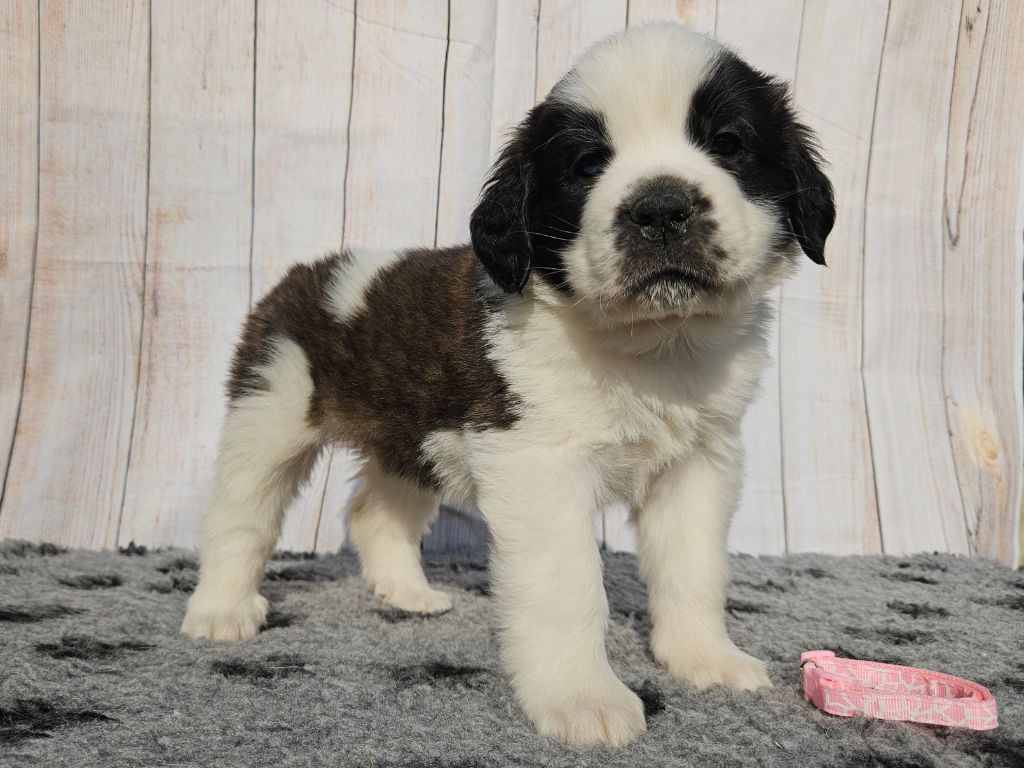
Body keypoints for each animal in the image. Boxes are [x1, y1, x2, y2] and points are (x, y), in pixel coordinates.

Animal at [181, 22, 834, 746]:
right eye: (587, 166)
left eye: (728, 144)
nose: (662, 208)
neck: (647, 344)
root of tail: (308, 272)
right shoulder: (535, 463)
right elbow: (567, 586)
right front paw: (581, 697)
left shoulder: (697, 464)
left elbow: (693, 568)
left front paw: (705, 660)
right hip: (272, 409)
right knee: (241, 512)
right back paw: (221, 611)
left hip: (414, 434)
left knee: (374, 509)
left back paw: (408, 594)